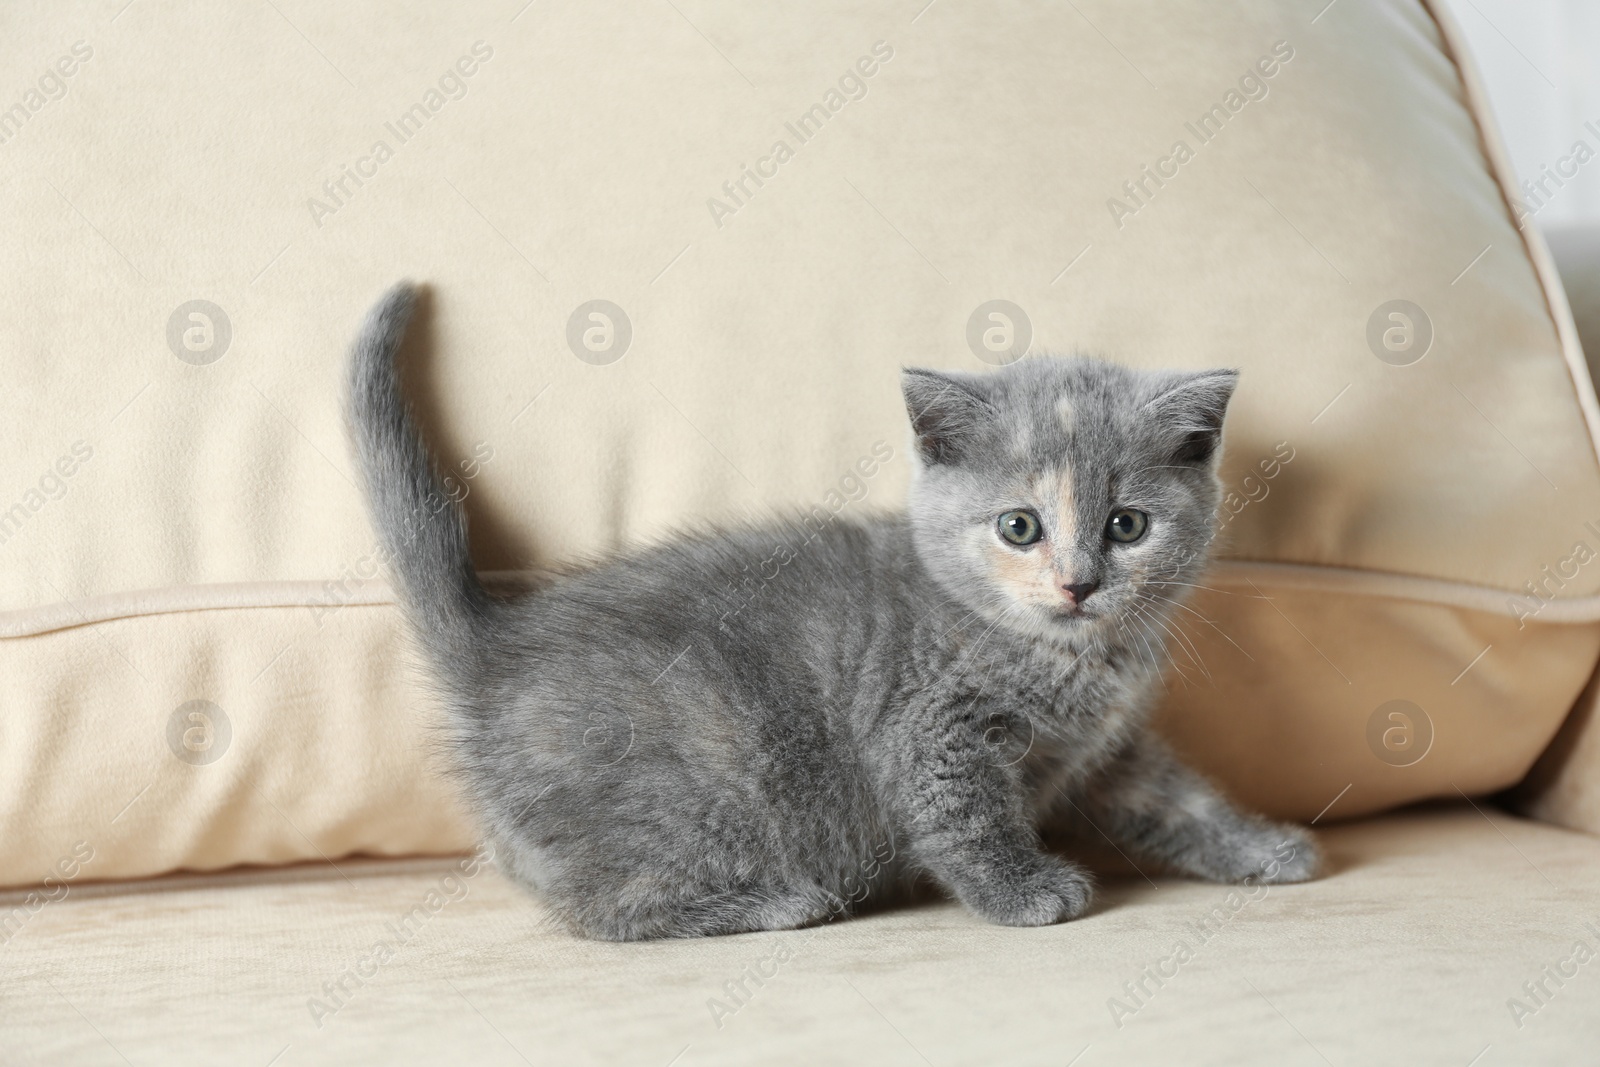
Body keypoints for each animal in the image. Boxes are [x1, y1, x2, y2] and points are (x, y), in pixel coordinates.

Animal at [347, 283, 1312, 940]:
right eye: (1019, 526)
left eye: (1127, 525)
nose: (1078, 582)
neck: (1068, 656)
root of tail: (494, 645)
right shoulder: (929, 723)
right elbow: (964, 813)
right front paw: (1026, 890)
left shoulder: (1105, 751)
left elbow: (1179, 798)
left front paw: (1263, 844)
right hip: (698, 784)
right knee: (599, 908)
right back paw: (775, 900)